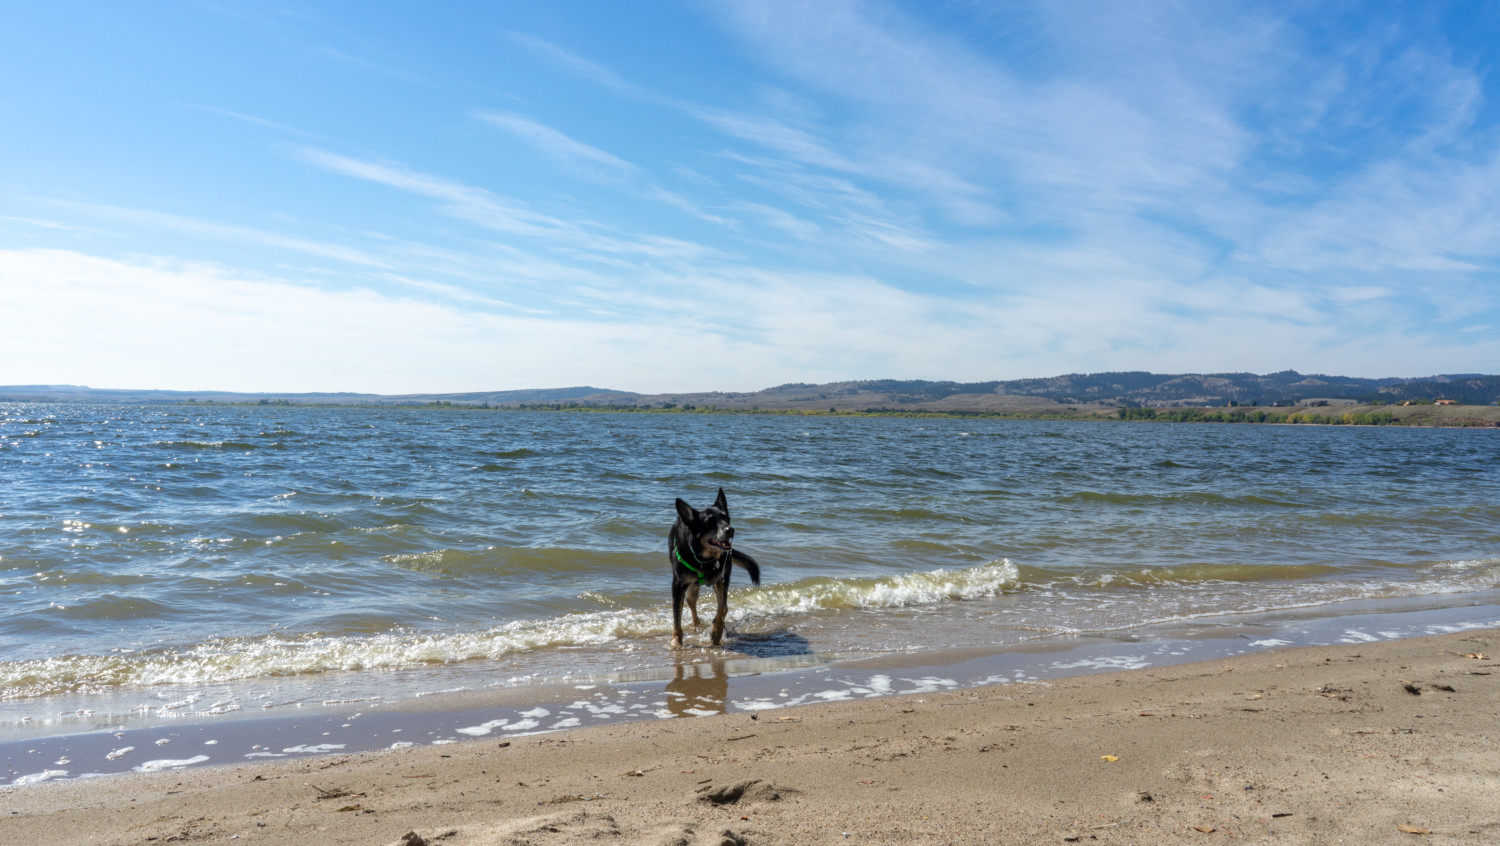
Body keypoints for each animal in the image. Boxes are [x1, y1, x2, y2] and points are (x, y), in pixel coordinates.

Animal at [669, 489, 762, 648]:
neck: (703, 559)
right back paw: (696, 624)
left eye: (726, 518)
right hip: (691, 589)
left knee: (723, 607)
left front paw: (716, 632)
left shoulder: (721, 579)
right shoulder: (678, 585)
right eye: (709, 521)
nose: (730, 530)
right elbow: (676, 617)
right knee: (692, 604)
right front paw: (676, 642)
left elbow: (722, 608)